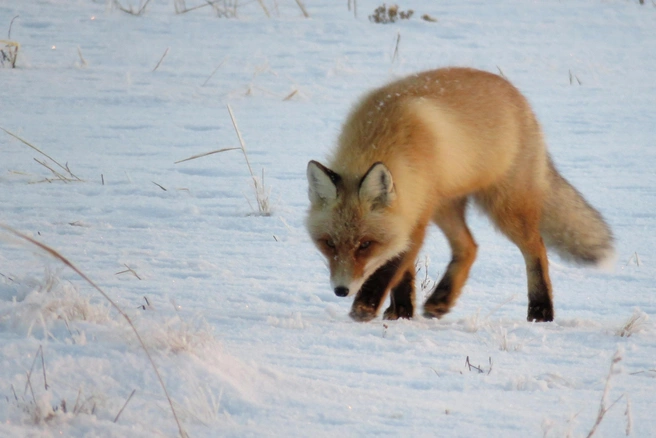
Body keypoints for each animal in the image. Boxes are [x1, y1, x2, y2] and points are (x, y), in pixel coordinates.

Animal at [308, 66, 616, 324]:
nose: (340, 290)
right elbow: (402, 271)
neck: (381, 138)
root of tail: (518, 97)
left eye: (365, 245)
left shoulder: (417, 214)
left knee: (536, 248)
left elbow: (391, 267)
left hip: (505, 209)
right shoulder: (409, 213)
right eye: (329, 243)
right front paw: (401, 312)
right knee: (469, 247)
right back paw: (441, 300)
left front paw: (366, 307)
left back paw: (541, 311)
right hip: (446, 207)